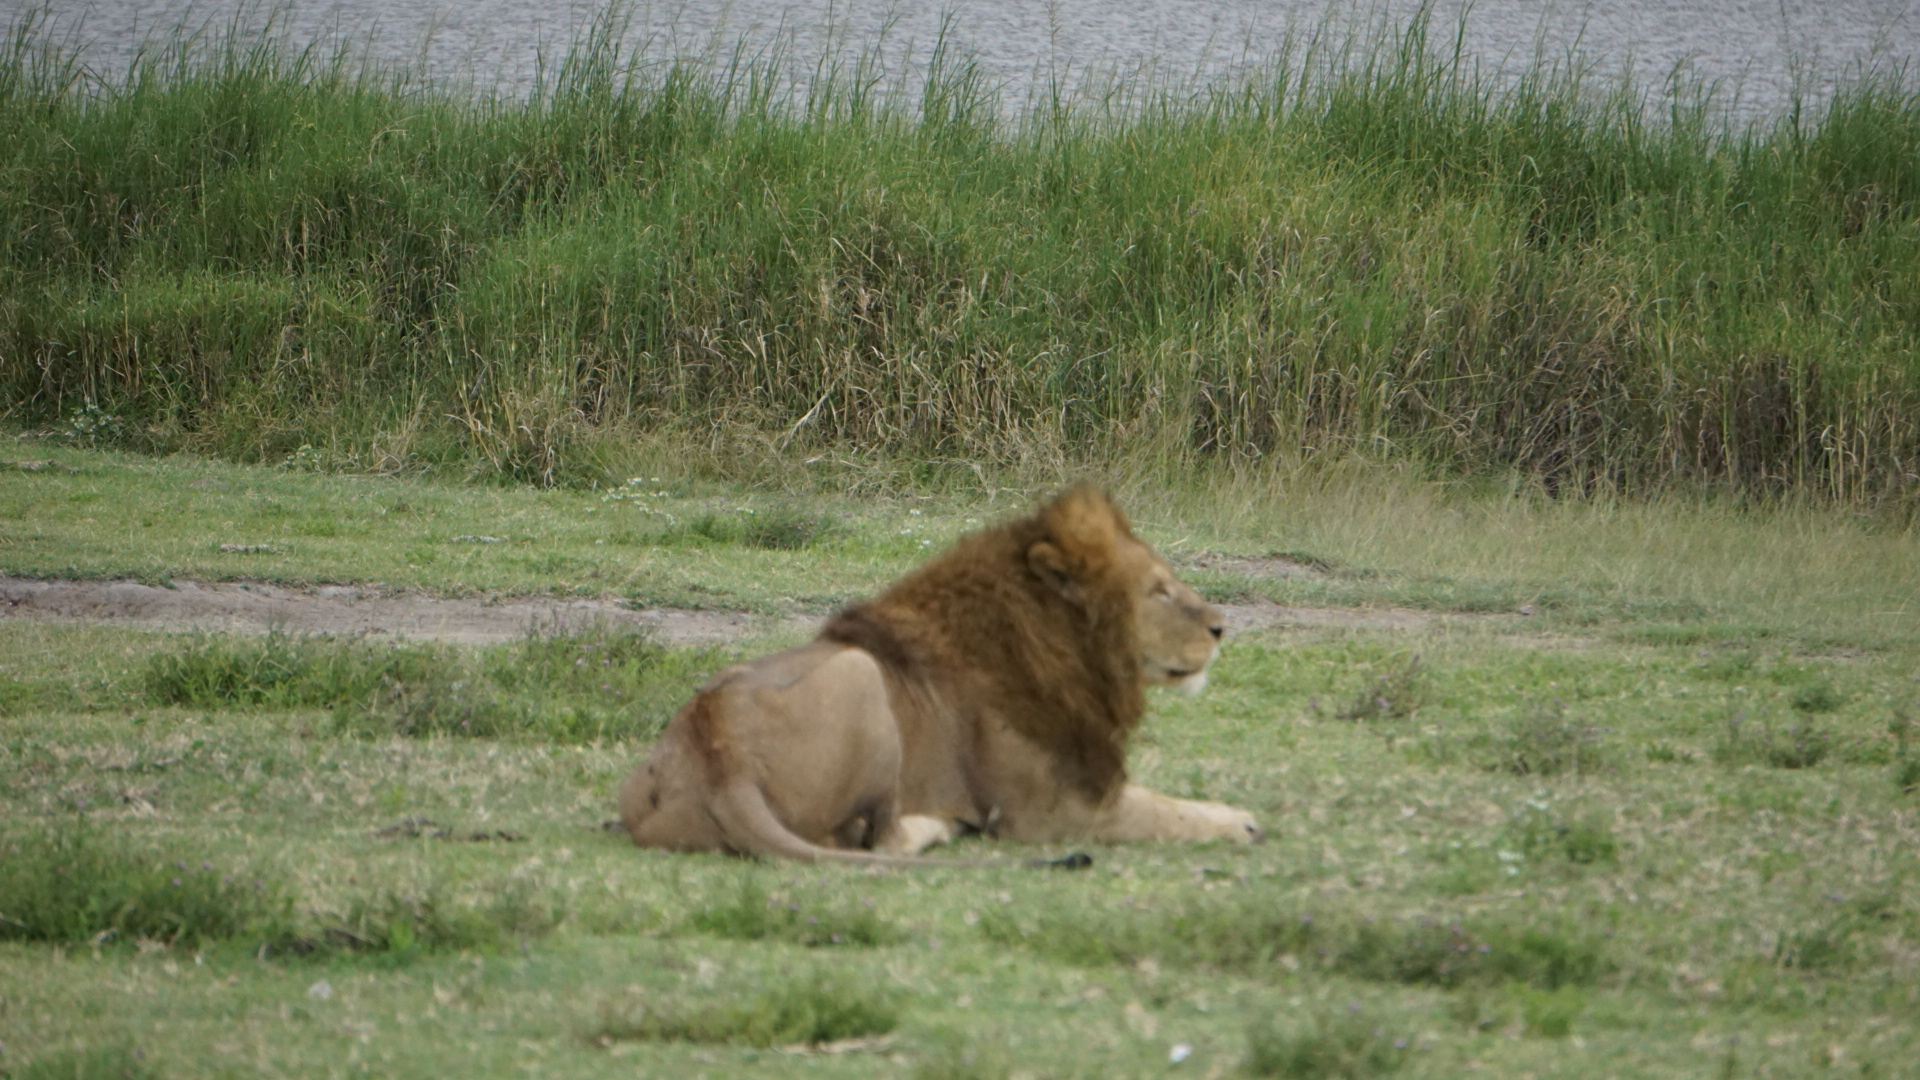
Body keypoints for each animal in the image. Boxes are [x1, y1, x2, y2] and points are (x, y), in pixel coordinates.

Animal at [614, 484, 1267, 860]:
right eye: (1158, 590)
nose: (1221, 626)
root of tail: (722, 762)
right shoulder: (1052, 813)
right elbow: (1166, 812)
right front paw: (1241, 823)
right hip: (862, 674)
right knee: (875, 840)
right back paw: (935, 827)